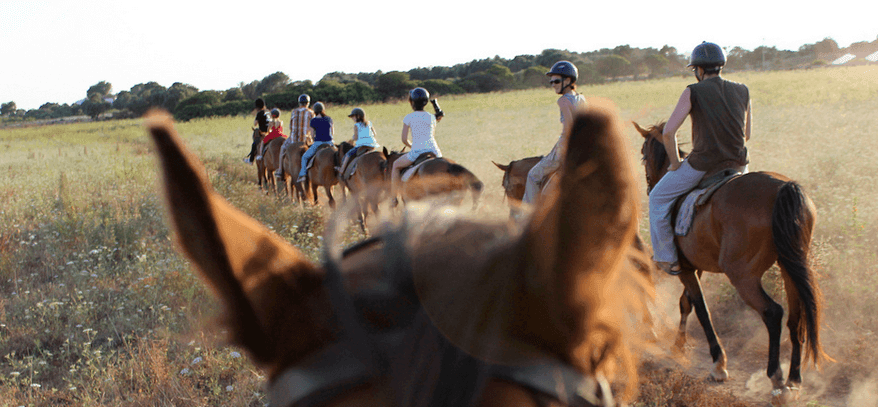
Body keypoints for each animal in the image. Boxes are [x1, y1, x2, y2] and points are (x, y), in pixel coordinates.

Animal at [633, 121, 828, 404]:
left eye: (643, 154)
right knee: (797, 317)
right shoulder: (696, 267)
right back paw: (794, 381)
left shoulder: (686, 268)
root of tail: (783, 188)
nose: (649, 187)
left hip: (743, 275)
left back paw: (776, 378)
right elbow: (686, 304)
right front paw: (678, 346)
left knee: (773, 312)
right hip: (790, 266)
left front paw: (718, 364)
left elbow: (701, 310)